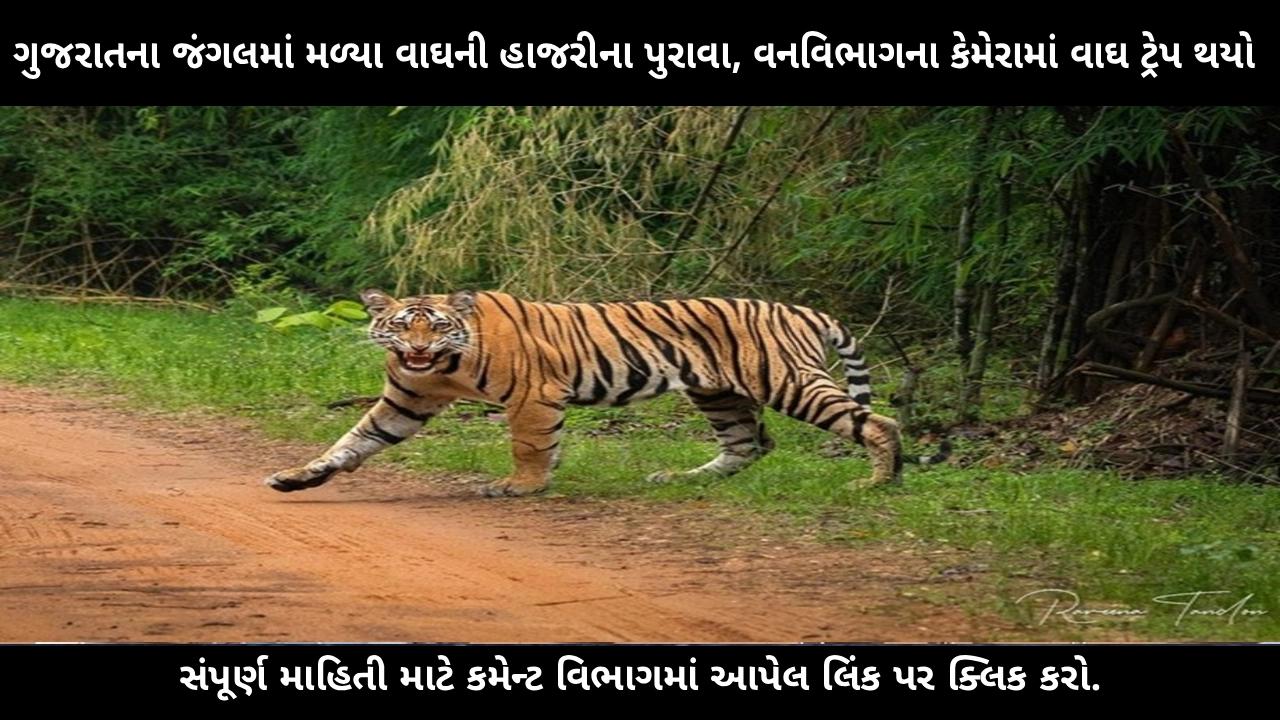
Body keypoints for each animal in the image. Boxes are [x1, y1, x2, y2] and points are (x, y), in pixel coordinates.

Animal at [264, 289, 949, 497]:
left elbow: (530, 446)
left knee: (877, 422)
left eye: (435, 325)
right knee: (749, 445)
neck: (444, 368)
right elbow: (353, 440)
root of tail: (802, 308)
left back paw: (878, 481)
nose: (418, 347)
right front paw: (298, 477)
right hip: (717, 393)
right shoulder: (406, 399)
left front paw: (521, 488)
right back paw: (679, 479)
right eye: (403, 324)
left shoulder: (534, 396)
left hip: (788, 381)